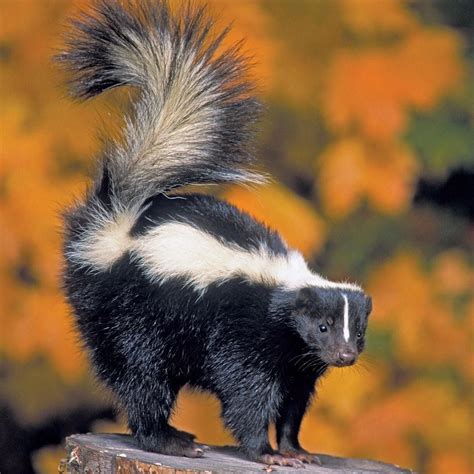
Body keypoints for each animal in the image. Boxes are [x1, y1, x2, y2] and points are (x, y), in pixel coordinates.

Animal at [59, 0, 372, 466]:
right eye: (322, 327)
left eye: (359, 331)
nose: (345, 355)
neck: (282, 300)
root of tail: (117, 225)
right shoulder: (246, 337)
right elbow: (247, 395)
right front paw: (267, 453)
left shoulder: (297, 363)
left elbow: (294, 406)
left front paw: (296, 448)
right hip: (133, 314)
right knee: (141, 375)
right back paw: (167, 438)